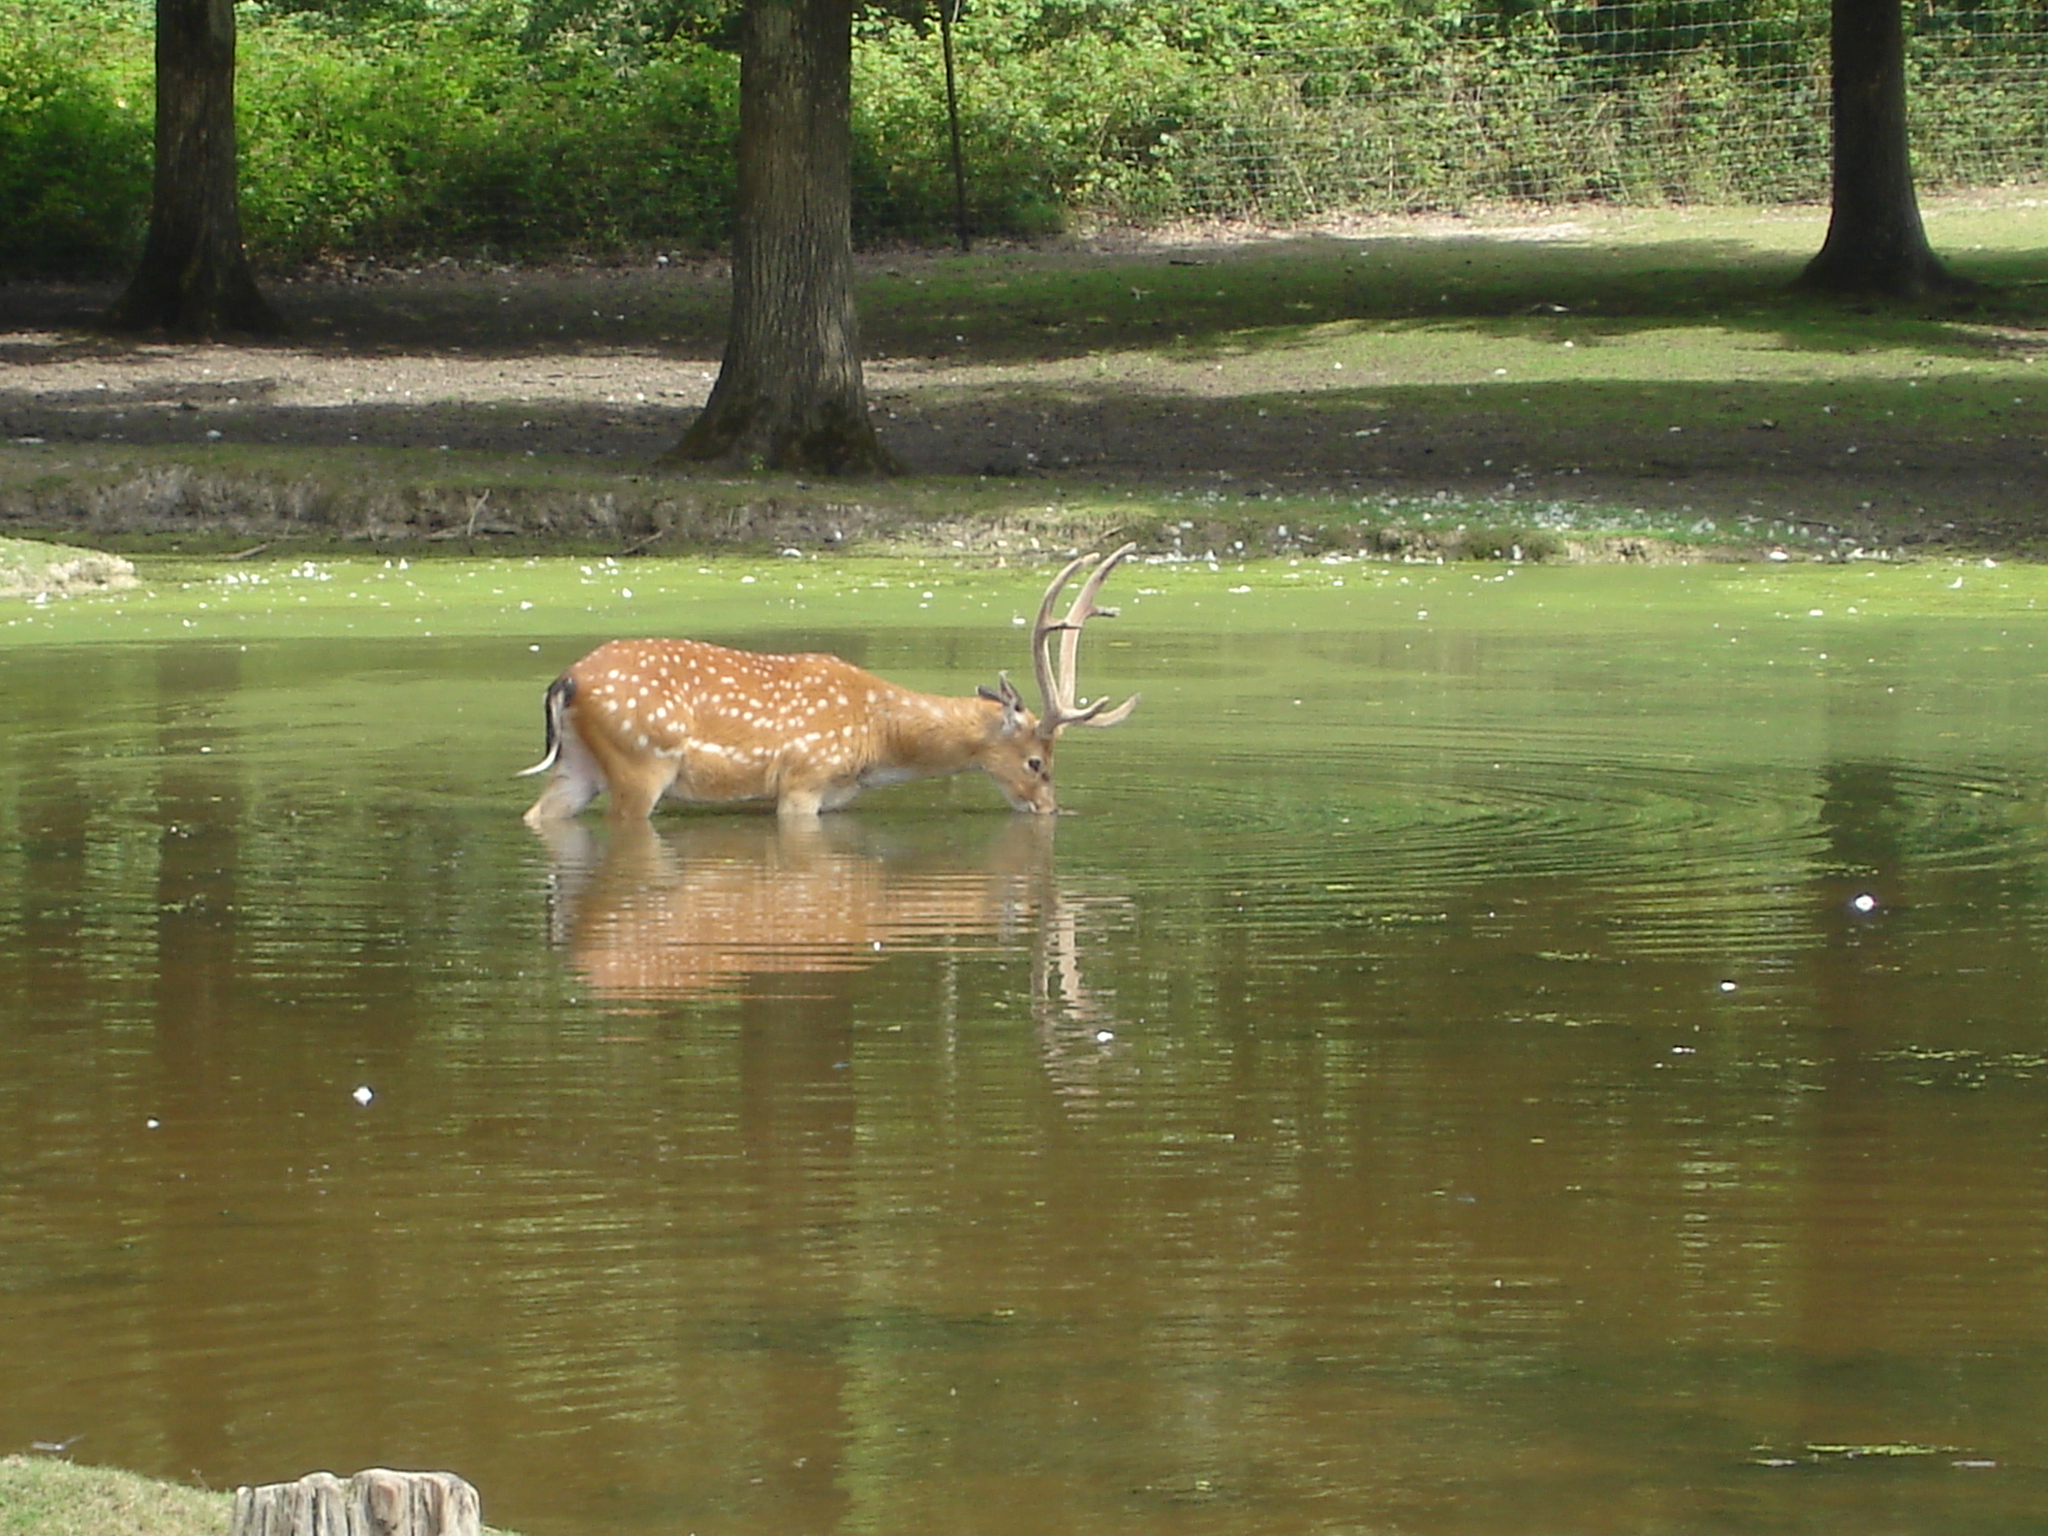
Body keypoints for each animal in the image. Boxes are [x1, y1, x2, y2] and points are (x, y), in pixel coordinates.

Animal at [516, 544, 1138, 823]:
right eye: (1037, 762)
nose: (1049, 809)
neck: (878, 741)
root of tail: (566, 680)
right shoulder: (803, 777)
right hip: (641, 758)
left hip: (578, 766)